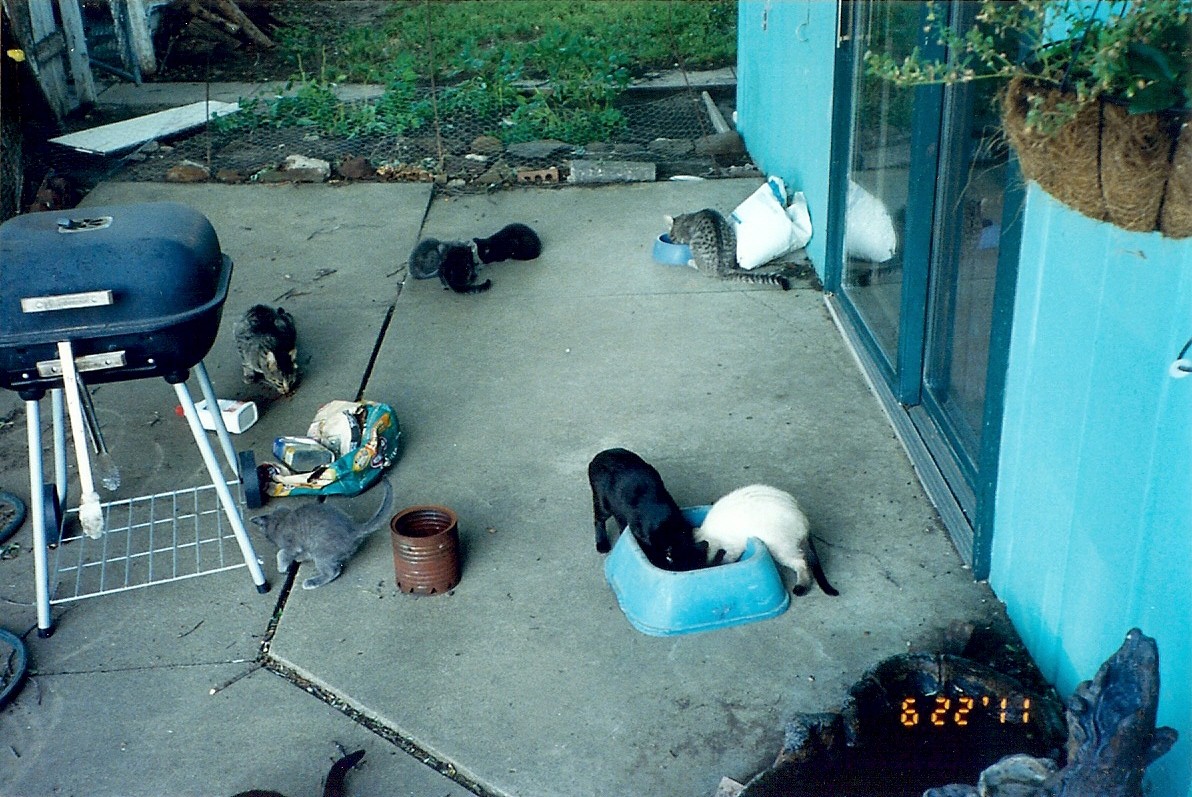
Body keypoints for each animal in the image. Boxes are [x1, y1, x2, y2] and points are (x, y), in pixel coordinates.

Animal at [251, 476, 395, 588]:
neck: (281, 520)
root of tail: (354, 529)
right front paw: (299, 558)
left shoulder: (292, 544)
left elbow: (281, 553)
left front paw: (281, 567)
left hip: (320, 551)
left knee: (333, 571)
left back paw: (311, 582)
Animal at [691, 481, 839, 593]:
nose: (704, 565)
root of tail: (803, 516)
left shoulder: (734, 547)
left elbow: (727, 559)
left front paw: (719, 563)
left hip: (779, 550)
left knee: (801, 562)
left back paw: (800, 587)